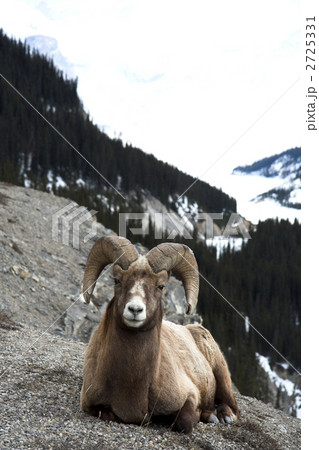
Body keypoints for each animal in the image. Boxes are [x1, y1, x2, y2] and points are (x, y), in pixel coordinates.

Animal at [80, 237, 240, 434]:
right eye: (117, 280)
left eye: (160, 286)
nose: (135, 310)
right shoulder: (90, 404)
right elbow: (106, 414)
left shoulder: (189, 396)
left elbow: (184, 422)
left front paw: (204, 415)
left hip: (221, 372)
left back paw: (223, 416)